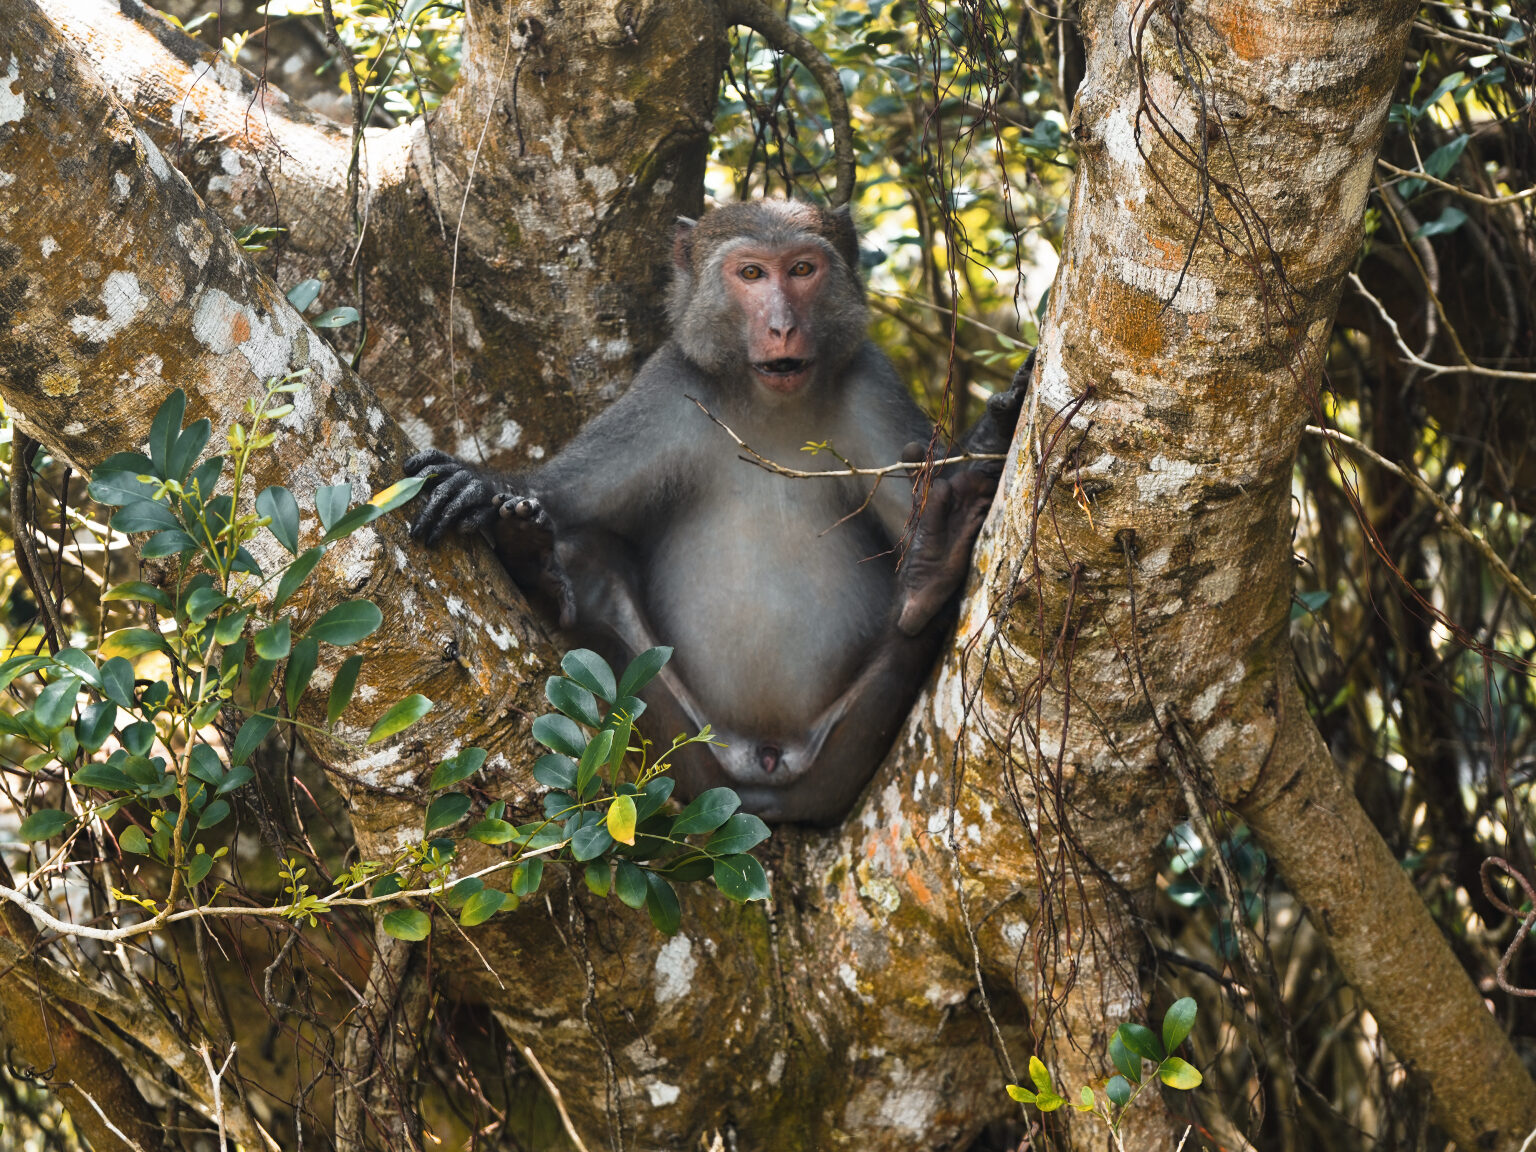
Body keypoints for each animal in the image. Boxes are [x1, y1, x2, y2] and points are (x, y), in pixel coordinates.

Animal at [406, 200, 1028, 824]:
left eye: (802, 270)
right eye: (751, 274)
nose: (782, 326)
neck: (769, 402)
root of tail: (766, 769)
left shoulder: (870, 383)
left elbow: (915, 503)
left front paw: (976, 458)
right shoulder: (668, 390)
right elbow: (565, 494)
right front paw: (485, 488)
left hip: (843, 758)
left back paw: (933, 563)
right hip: (679, 748)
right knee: (586, 554)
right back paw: (534, 562)